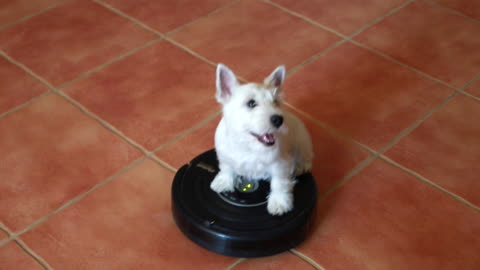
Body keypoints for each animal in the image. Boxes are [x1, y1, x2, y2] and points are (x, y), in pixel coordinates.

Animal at [211, 62, 316, 215]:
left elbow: (279, 183)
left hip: (302, 141)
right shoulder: (224, 156)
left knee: (305, 156)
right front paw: (223, 182)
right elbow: (226, 168)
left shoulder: (280, 164)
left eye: (275, 102)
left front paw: (279, 202)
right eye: (251, 103)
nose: (279, 120)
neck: (247, 146)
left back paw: (301, 166)